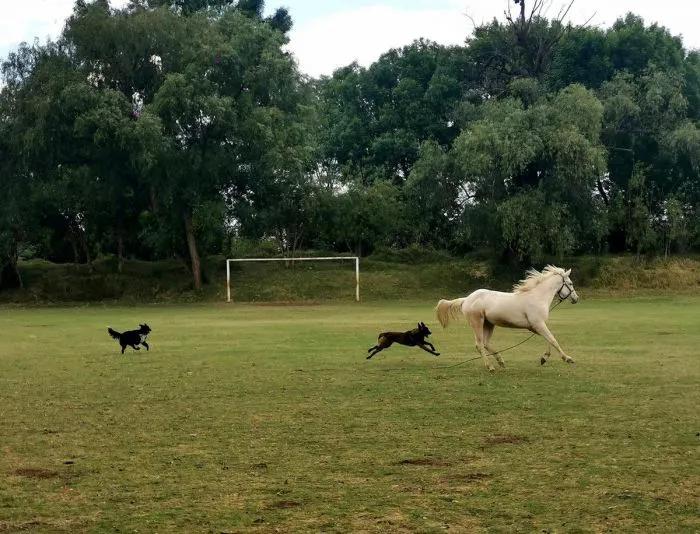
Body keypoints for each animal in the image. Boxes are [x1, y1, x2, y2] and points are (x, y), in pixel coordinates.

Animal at [434, 265, 579, 371]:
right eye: (571, 283)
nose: (576, 299)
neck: (537, 297)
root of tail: (466, 299)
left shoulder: (534, 326)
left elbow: (548, 339)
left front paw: (544, 358)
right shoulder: (538, 324)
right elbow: (553, 340)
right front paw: (567, 358)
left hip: (489, 324)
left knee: (486, 344)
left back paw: (501, 361)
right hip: (477, 323)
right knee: (479, 345)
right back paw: (490, 367)